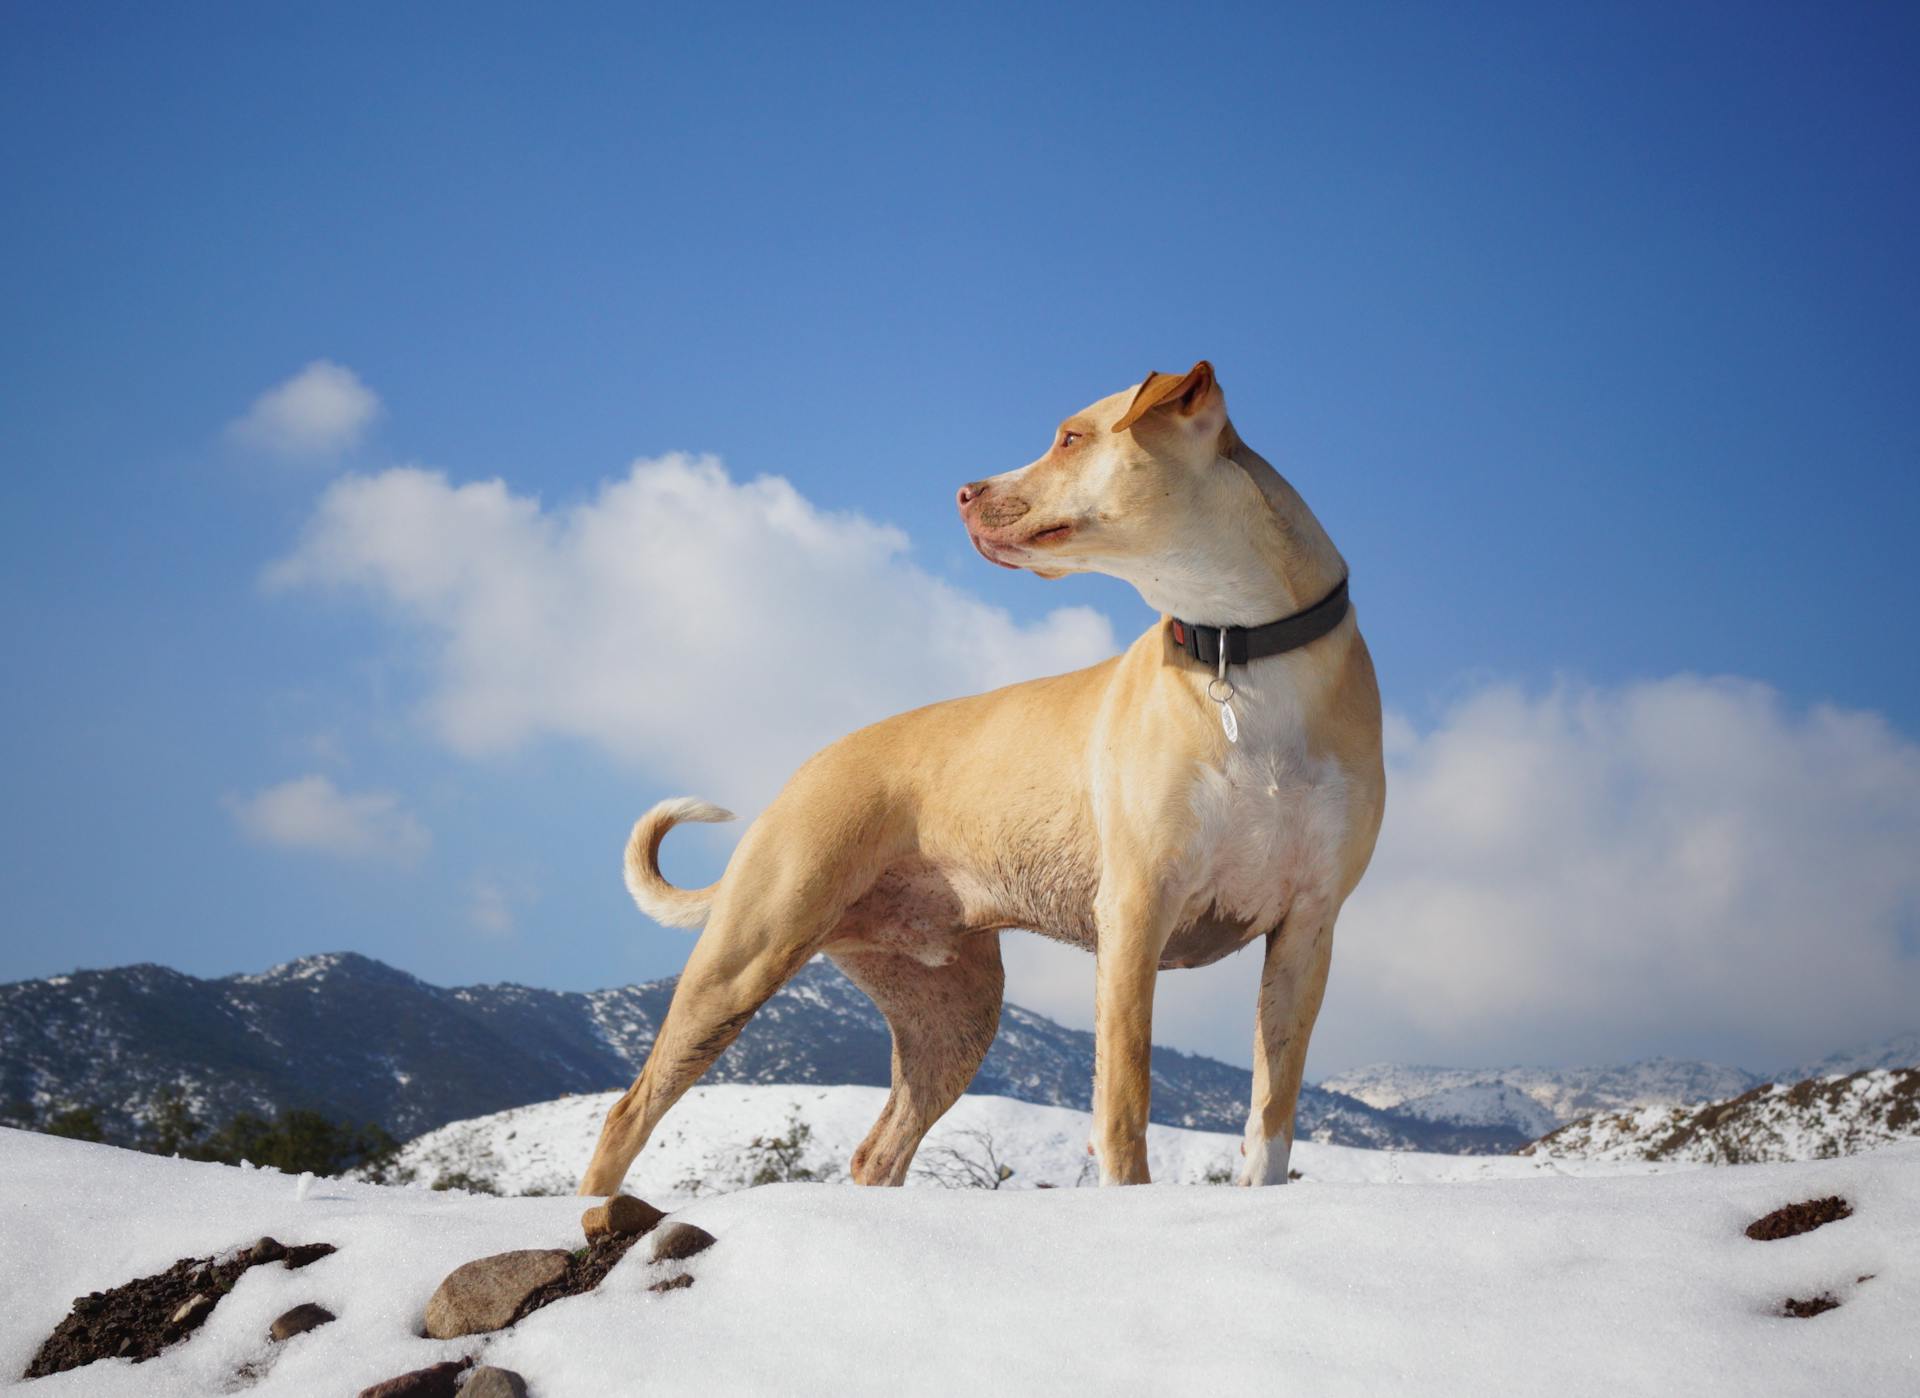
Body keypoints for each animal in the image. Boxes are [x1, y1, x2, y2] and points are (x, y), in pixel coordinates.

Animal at [572, 357, 1382, 1190]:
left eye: (1070, 438)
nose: (962, 492)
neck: (1239, 649)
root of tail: (803, 771)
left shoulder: (1307, 928)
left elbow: (1272, 1113)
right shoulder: (1136, 909)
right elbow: (1125, 1101)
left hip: (952, 1013)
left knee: (879, 1149)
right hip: (746, 954)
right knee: (629, 1112)